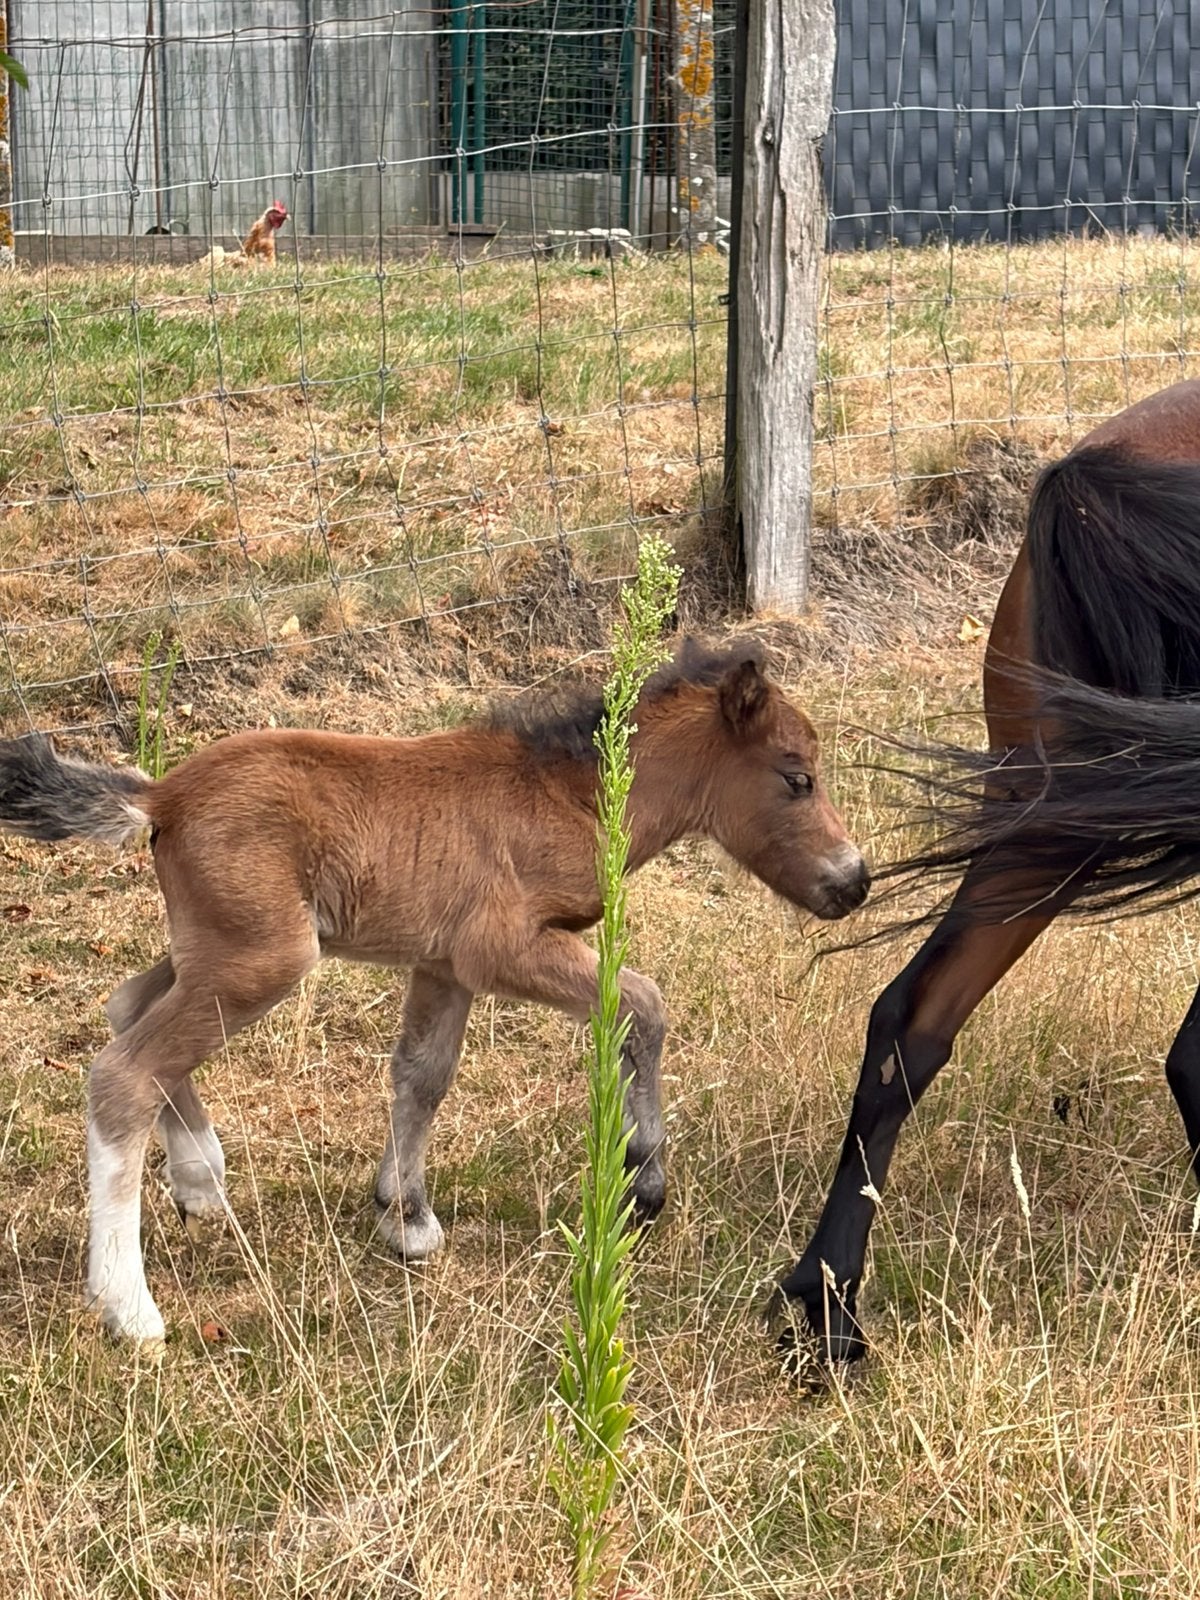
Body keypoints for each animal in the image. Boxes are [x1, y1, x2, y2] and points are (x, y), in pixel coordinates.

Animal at [0, 637, 869, 1344]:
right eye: (798, 778)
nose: (855, 881)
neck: (570, 795)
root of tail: (163, 796)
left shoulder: (444, 965)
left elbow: (423, 1075)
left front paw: (404, 1214)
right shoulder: (501, 948)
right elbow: (643, 1005)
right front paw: (643, 1177)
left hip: (215, 948)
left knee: (126, 1008)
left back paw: (199, 1179)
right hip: (265, 957)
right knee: (125, 1072)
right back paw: (130, 1308)